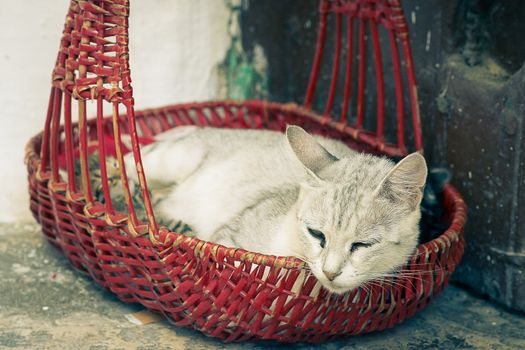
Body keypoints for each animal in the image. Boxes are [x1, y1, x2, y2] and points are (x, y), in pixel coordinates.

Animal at [123, 124, 426, 294]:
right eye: (317, 234)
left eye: (363, 245)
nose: (330, 273)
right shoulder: (229, 236)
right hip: (171, 162)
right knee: (128, 161)